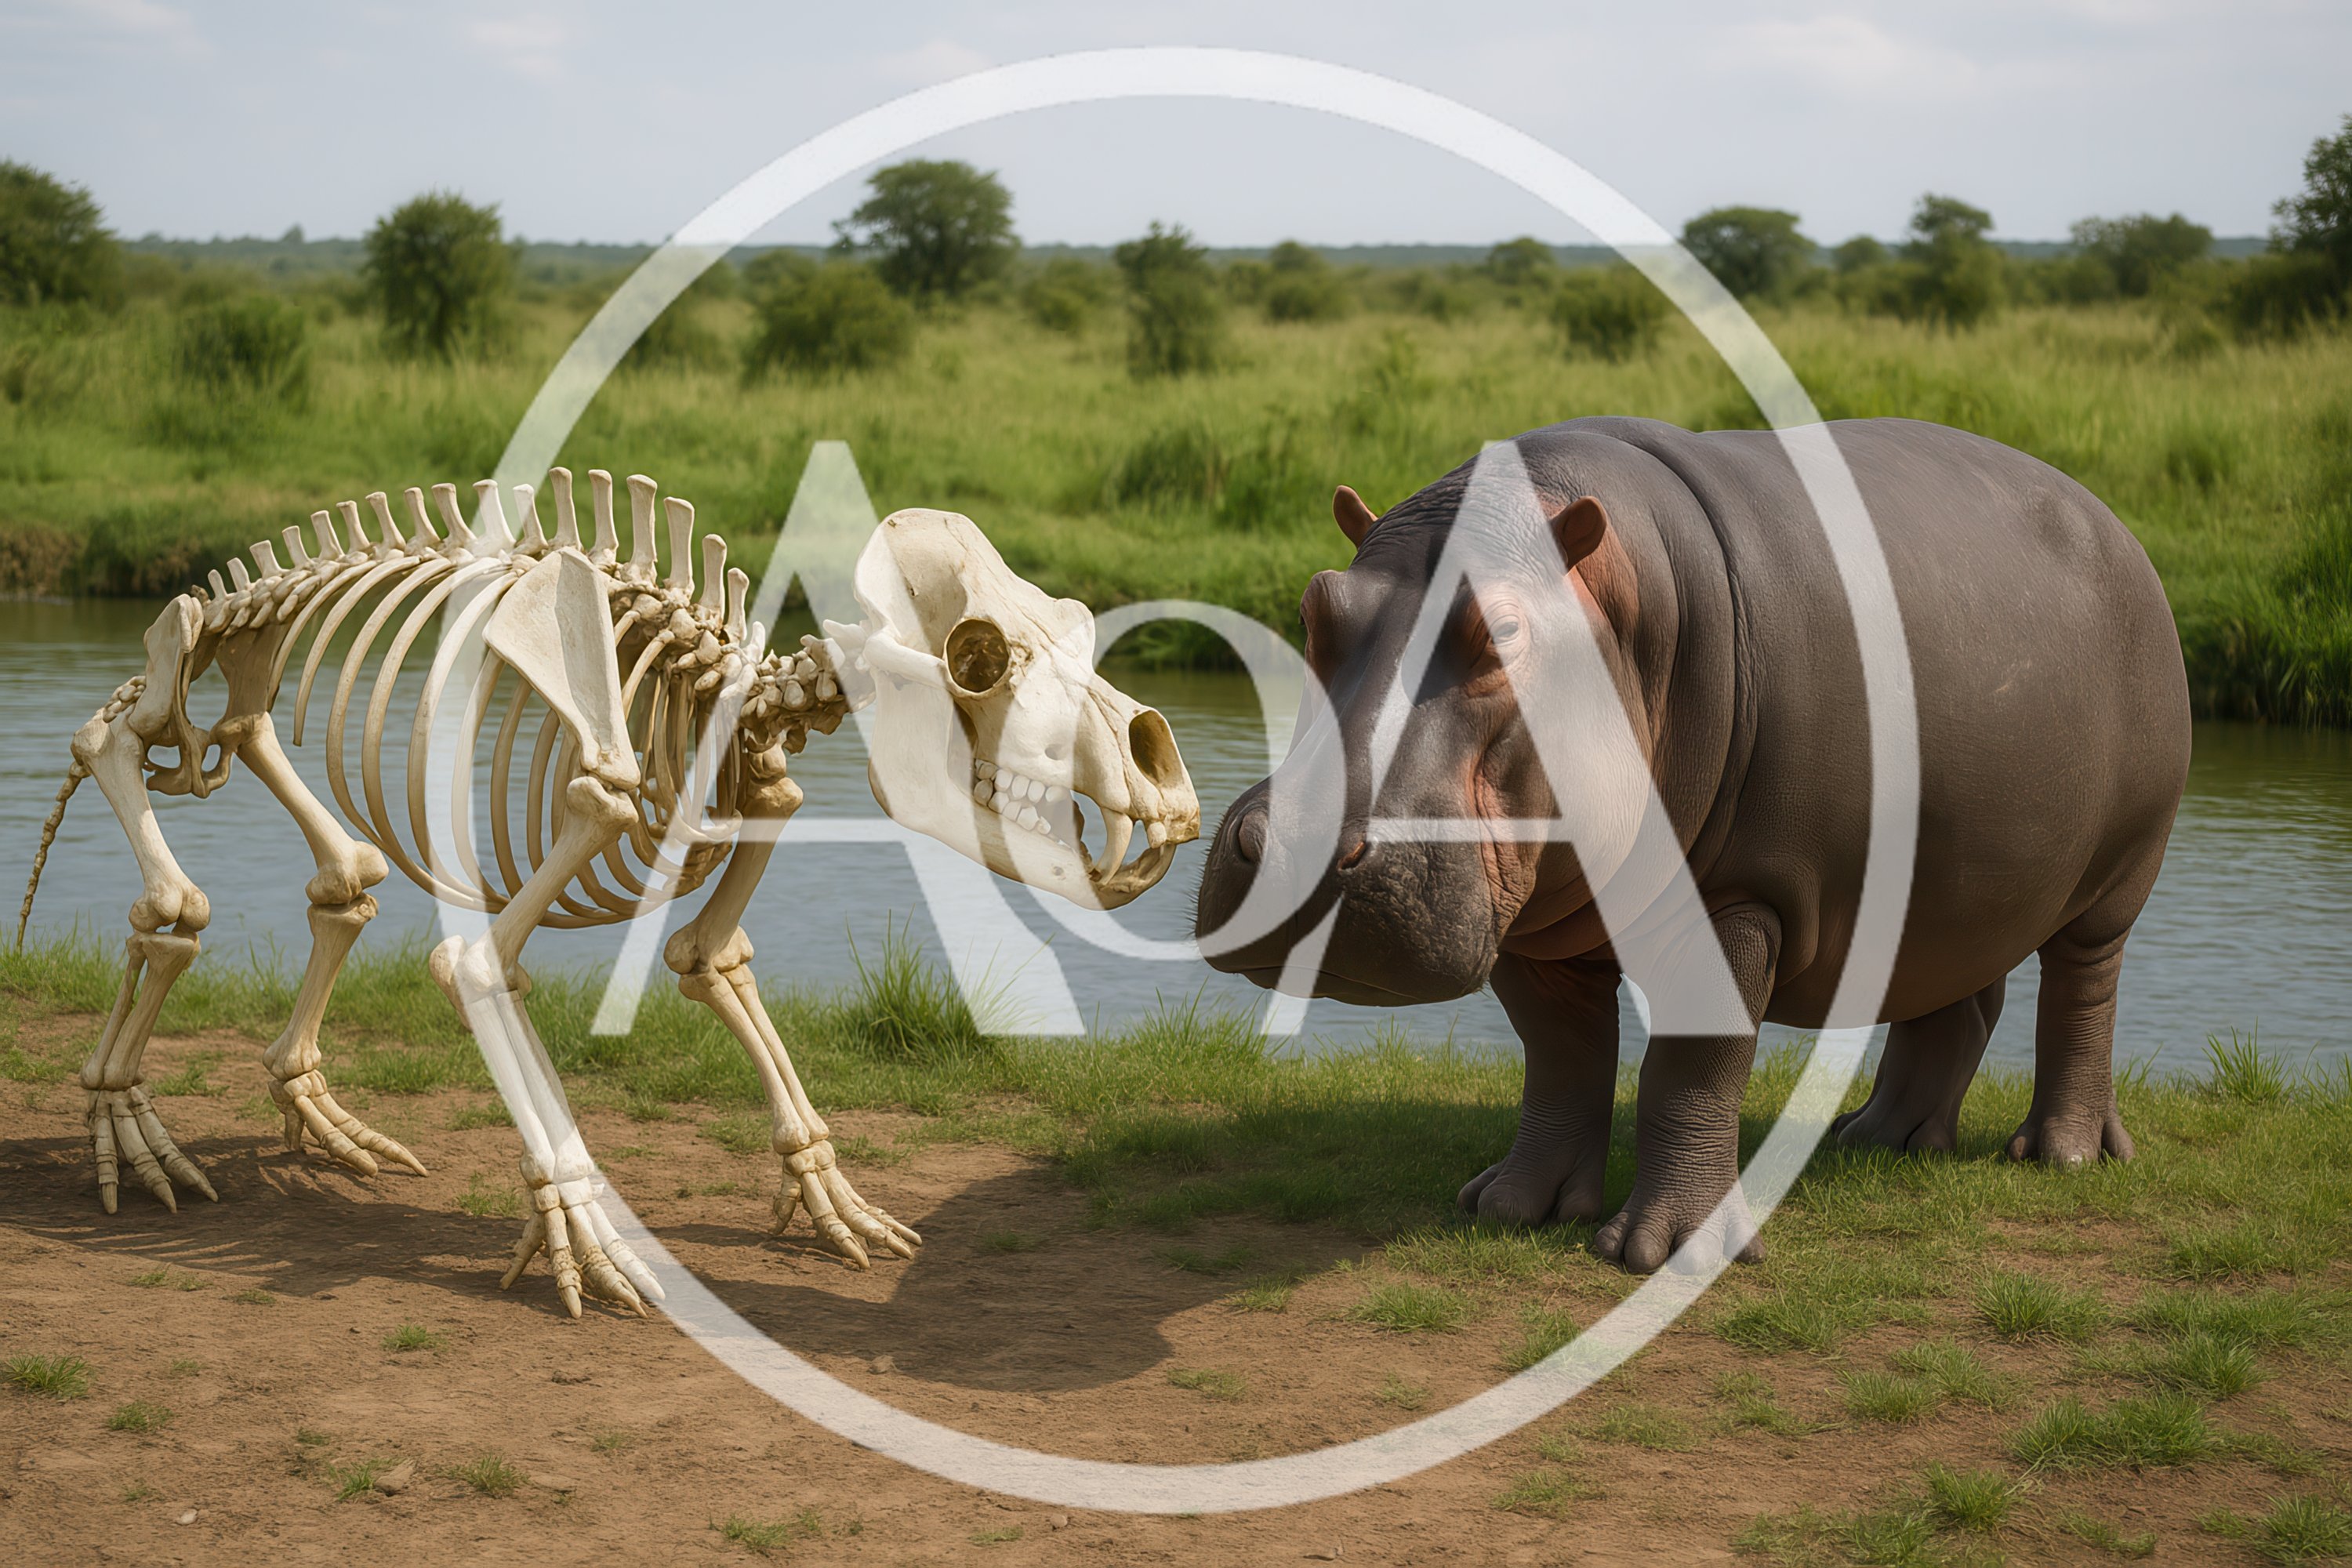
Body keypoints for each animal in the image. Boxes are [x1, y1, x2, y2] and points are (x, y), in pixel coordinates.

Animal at [1194, 416, 2191, 1273]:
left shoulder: (1741, 896)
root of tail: (2114, 520)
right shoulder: (1538, 917)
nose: (1295, 847)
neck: (1625, 603)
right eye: (1315, 604)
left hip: (2118, 877)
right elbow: (1560, 1051)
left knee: (2081, 993)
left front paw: (1666, 1252)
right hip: (1955, 885)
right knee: (1957, 998)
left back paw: (2060, 1154)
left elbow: (1693, 1063)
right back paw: (1880, 1139)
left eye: (1504, 628)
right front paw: (1511, 1205)